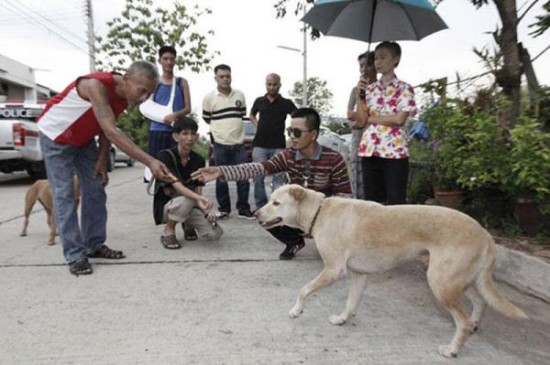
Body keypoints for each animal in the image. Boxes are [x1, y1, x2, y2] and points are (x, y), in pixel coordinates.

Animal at [256, 186, 532, 356]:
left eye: (276, 203)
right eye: (269, 200)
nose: (256, 214)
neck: (319, 212)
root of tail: (484, 233)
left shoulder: (334, 270)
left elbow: (304, 290)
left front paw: (296, 310)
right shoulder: (359, 275)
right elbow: (351, 302)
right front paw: (343, 319)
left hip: (440, 283)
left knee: (461, 322)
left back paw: (453, 349)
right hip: (459, 281)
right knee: (481, 302)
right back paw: (475, 325)